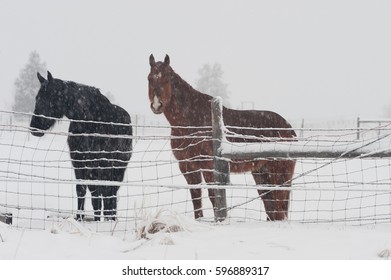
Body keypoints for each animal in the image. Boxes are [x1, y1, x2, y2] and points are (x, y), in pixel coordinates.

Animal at [29, 71, 133, 221]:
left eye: (49, 97)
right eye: (37, 97)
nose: (34, 128)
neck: (89, 121)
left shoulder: (98, 164)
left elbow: (99, 195)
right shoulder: (78, 162)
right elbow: (81, 190)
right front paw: (79, 218)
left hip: (116, 168)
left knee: (110, 193)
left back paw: (110, 218)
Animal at [149, 54, 296, 221]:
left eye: (167, 79)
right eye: (149, 79)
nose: (157, 105)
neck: (191, 120)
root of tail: (290, 129)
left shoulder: (208, 166)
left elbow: (213, 197)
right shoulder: (188, 166)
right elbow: (196, 198)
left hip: (278, 173)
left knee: (279, 206)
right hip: (261, 173)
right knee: (271, 206)